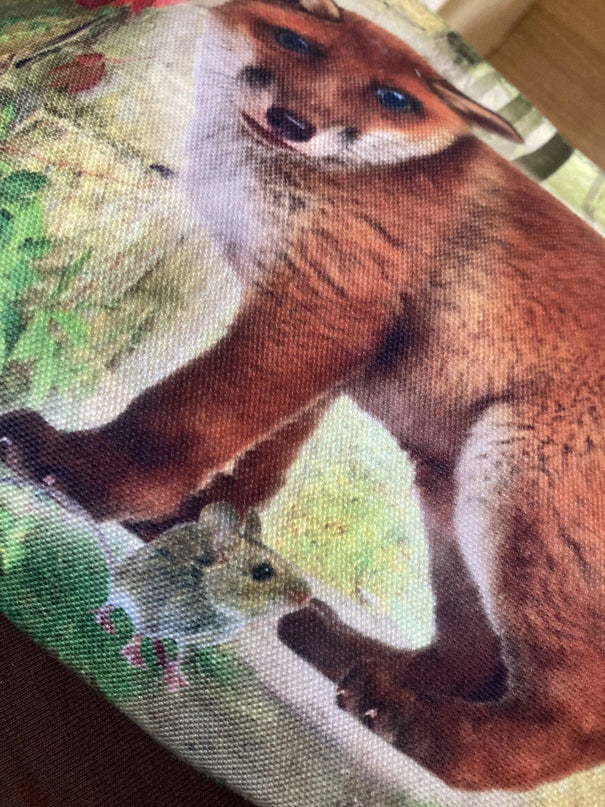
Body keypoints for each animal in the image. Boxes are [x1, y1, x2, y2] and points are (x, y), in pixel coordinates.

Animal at [0, 0, 603, 791]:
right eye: (294, 40)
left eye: (395, 98)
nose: (294, 123)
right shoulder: (326, 347)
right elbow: (260, 462)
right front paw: (199, 530)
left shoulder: (321, 306)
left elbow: (184, 417)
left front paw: (87, 476)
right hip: (451, 501)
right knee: (473, 657)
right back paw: (357, 656)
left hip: (518, 497)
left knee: (573, 717)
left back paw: (430, 732)